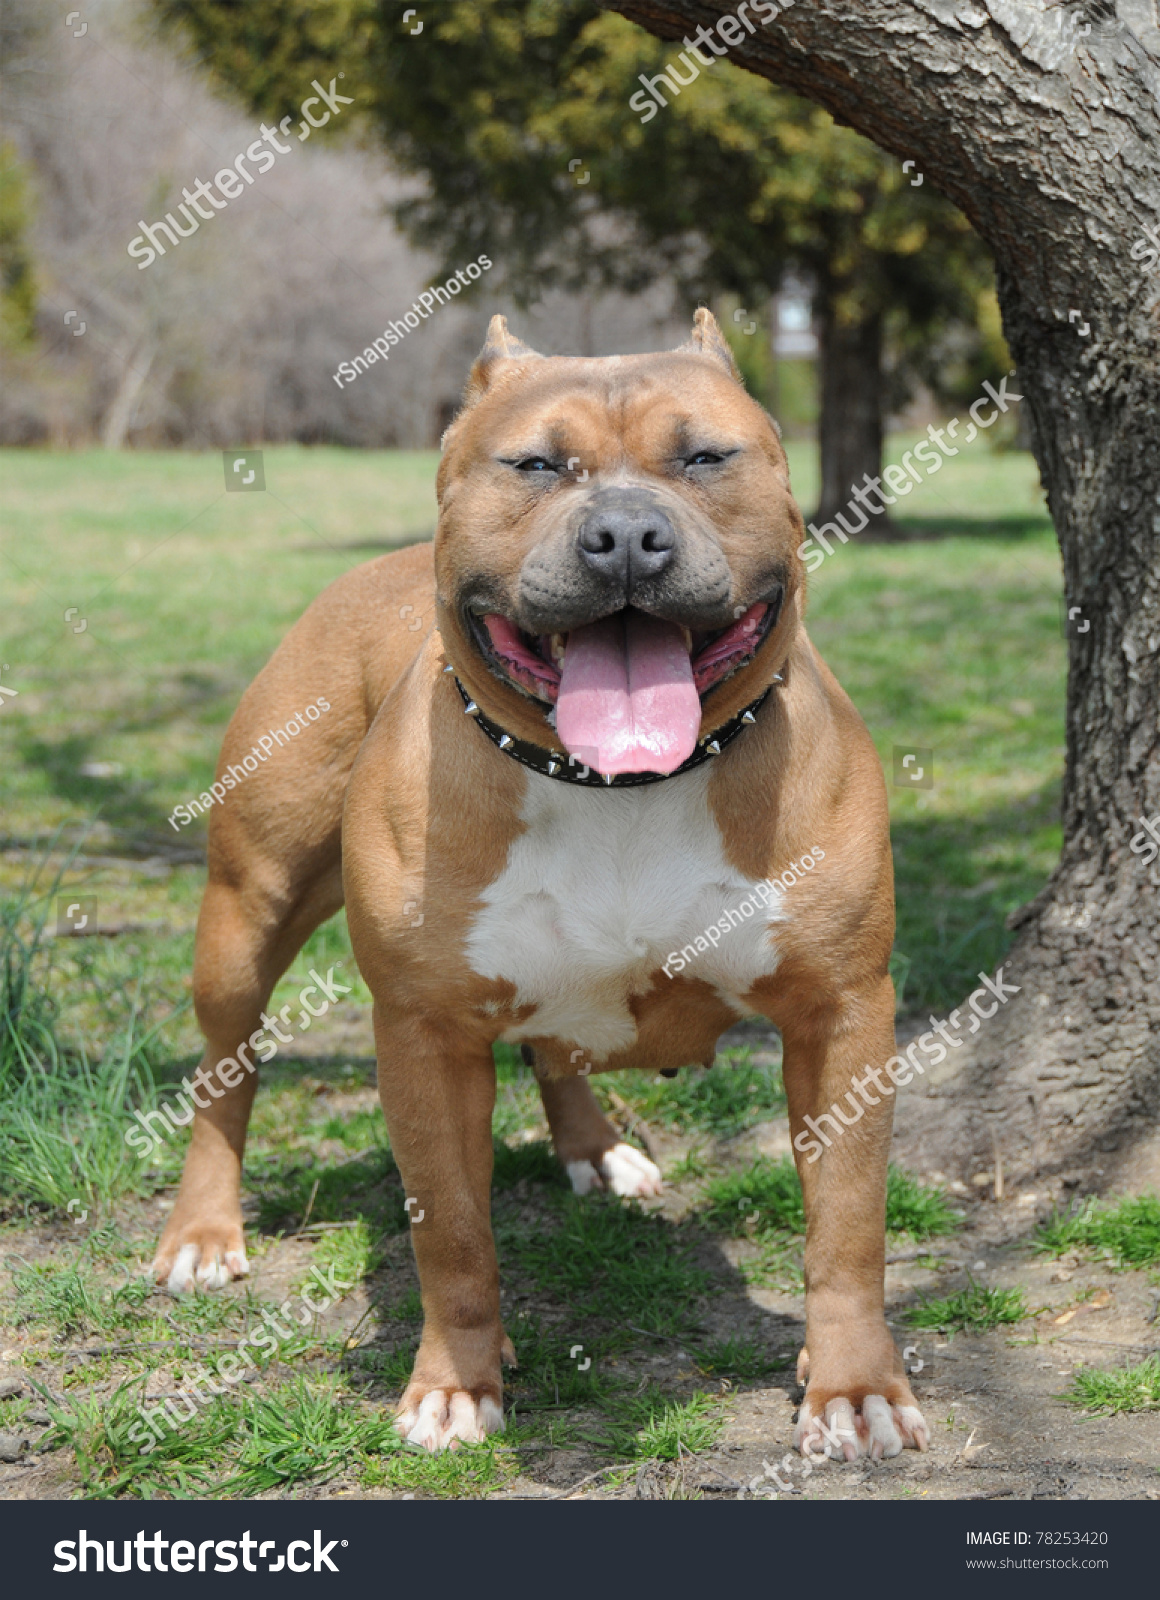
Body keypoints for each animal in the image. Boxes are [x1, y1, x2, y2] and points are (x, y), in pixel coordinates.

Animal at [153, 308, 928, 1465]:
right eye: (534, 465)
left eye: (704, 458)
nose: (624, 536)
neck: (623, 784)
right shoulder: (423, 1034)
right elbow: (453, 1237)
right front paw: (455, 1385)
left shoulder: (842, 1014)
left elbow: (846, 1224)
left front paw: (853, 1387)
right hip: (246, 915)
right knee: (223, 1073)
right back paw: (204, 1231)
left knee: (556, 1043)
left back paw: (597, 1152)